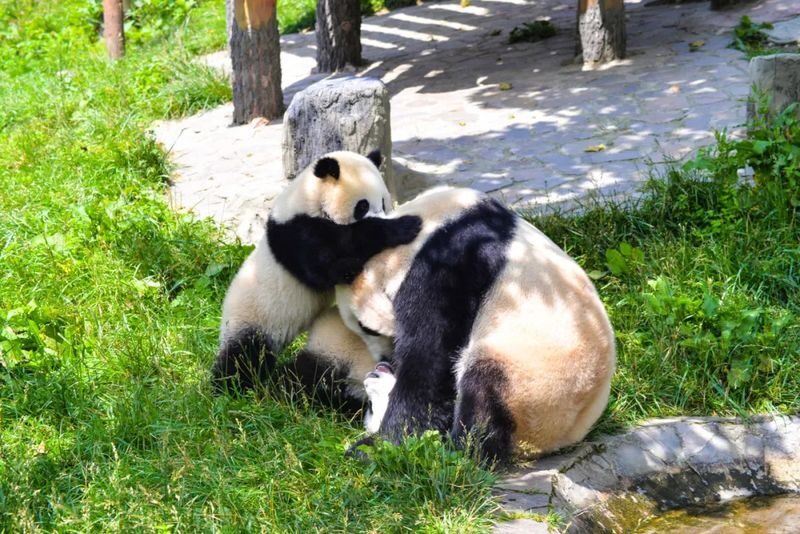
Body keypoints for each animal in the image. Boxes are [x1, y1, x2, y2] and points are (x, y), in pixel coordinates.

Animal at [211, 150, 422, 393]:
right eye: (362, 206)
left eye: (385, 203)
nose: (385, 215)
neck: (308, 197)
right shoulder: (296, 234)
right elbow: (328, 258)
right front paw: (404, 226)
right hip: (253, 317)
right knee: (244, 356)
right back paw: (228, 386)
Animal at [334, 186, 616, 462]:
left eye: (367, 328)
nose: (382, 362)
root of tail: (559, 438)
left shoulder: (450, 264)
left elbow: (430, 355)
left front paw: (376, 446)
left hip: (534, 380)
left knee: (483, 392)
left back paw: (455, 448)